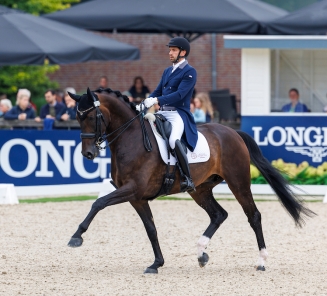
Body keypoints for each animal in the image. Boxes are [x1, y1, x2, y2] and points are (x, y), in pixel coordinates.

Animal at [67, 86, 316, 274]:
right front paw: (156, 264)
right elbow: (151, 229)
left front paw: (76, 237)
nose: (87, 154)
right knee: (218, 215)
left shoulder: (132, 189)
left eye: (92, 117)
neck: (132, 138)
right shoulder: (137, 197)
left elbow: (98, 203)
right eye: (77, 117)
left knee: (253, 216)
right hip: (200, 189)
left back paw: (262, 261)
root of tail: (233, 133)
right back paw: (201, 253)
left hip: (238, 182)